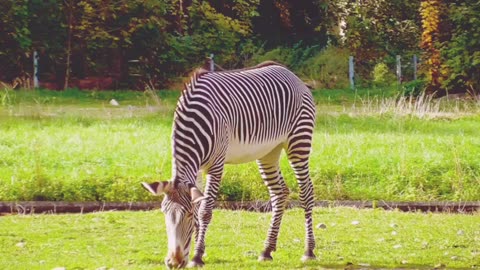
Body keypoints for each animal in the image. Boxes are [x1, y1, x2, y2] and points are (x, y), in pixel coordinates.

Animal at [141, 61, 316, 268]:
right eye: (164, 214)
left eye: (188, 216)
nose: (174, 263)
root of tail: (290, 73)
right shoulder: (196, 170)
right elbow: (200, 205)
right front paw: (197, 252)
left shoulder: (216, 165)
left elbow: (205, 211)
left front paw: (197, 256)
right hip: (268, 152)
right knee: (279, 192)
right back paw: (267, 250)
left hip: (299, 142)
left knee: (306, 192)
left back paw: (309, 250)